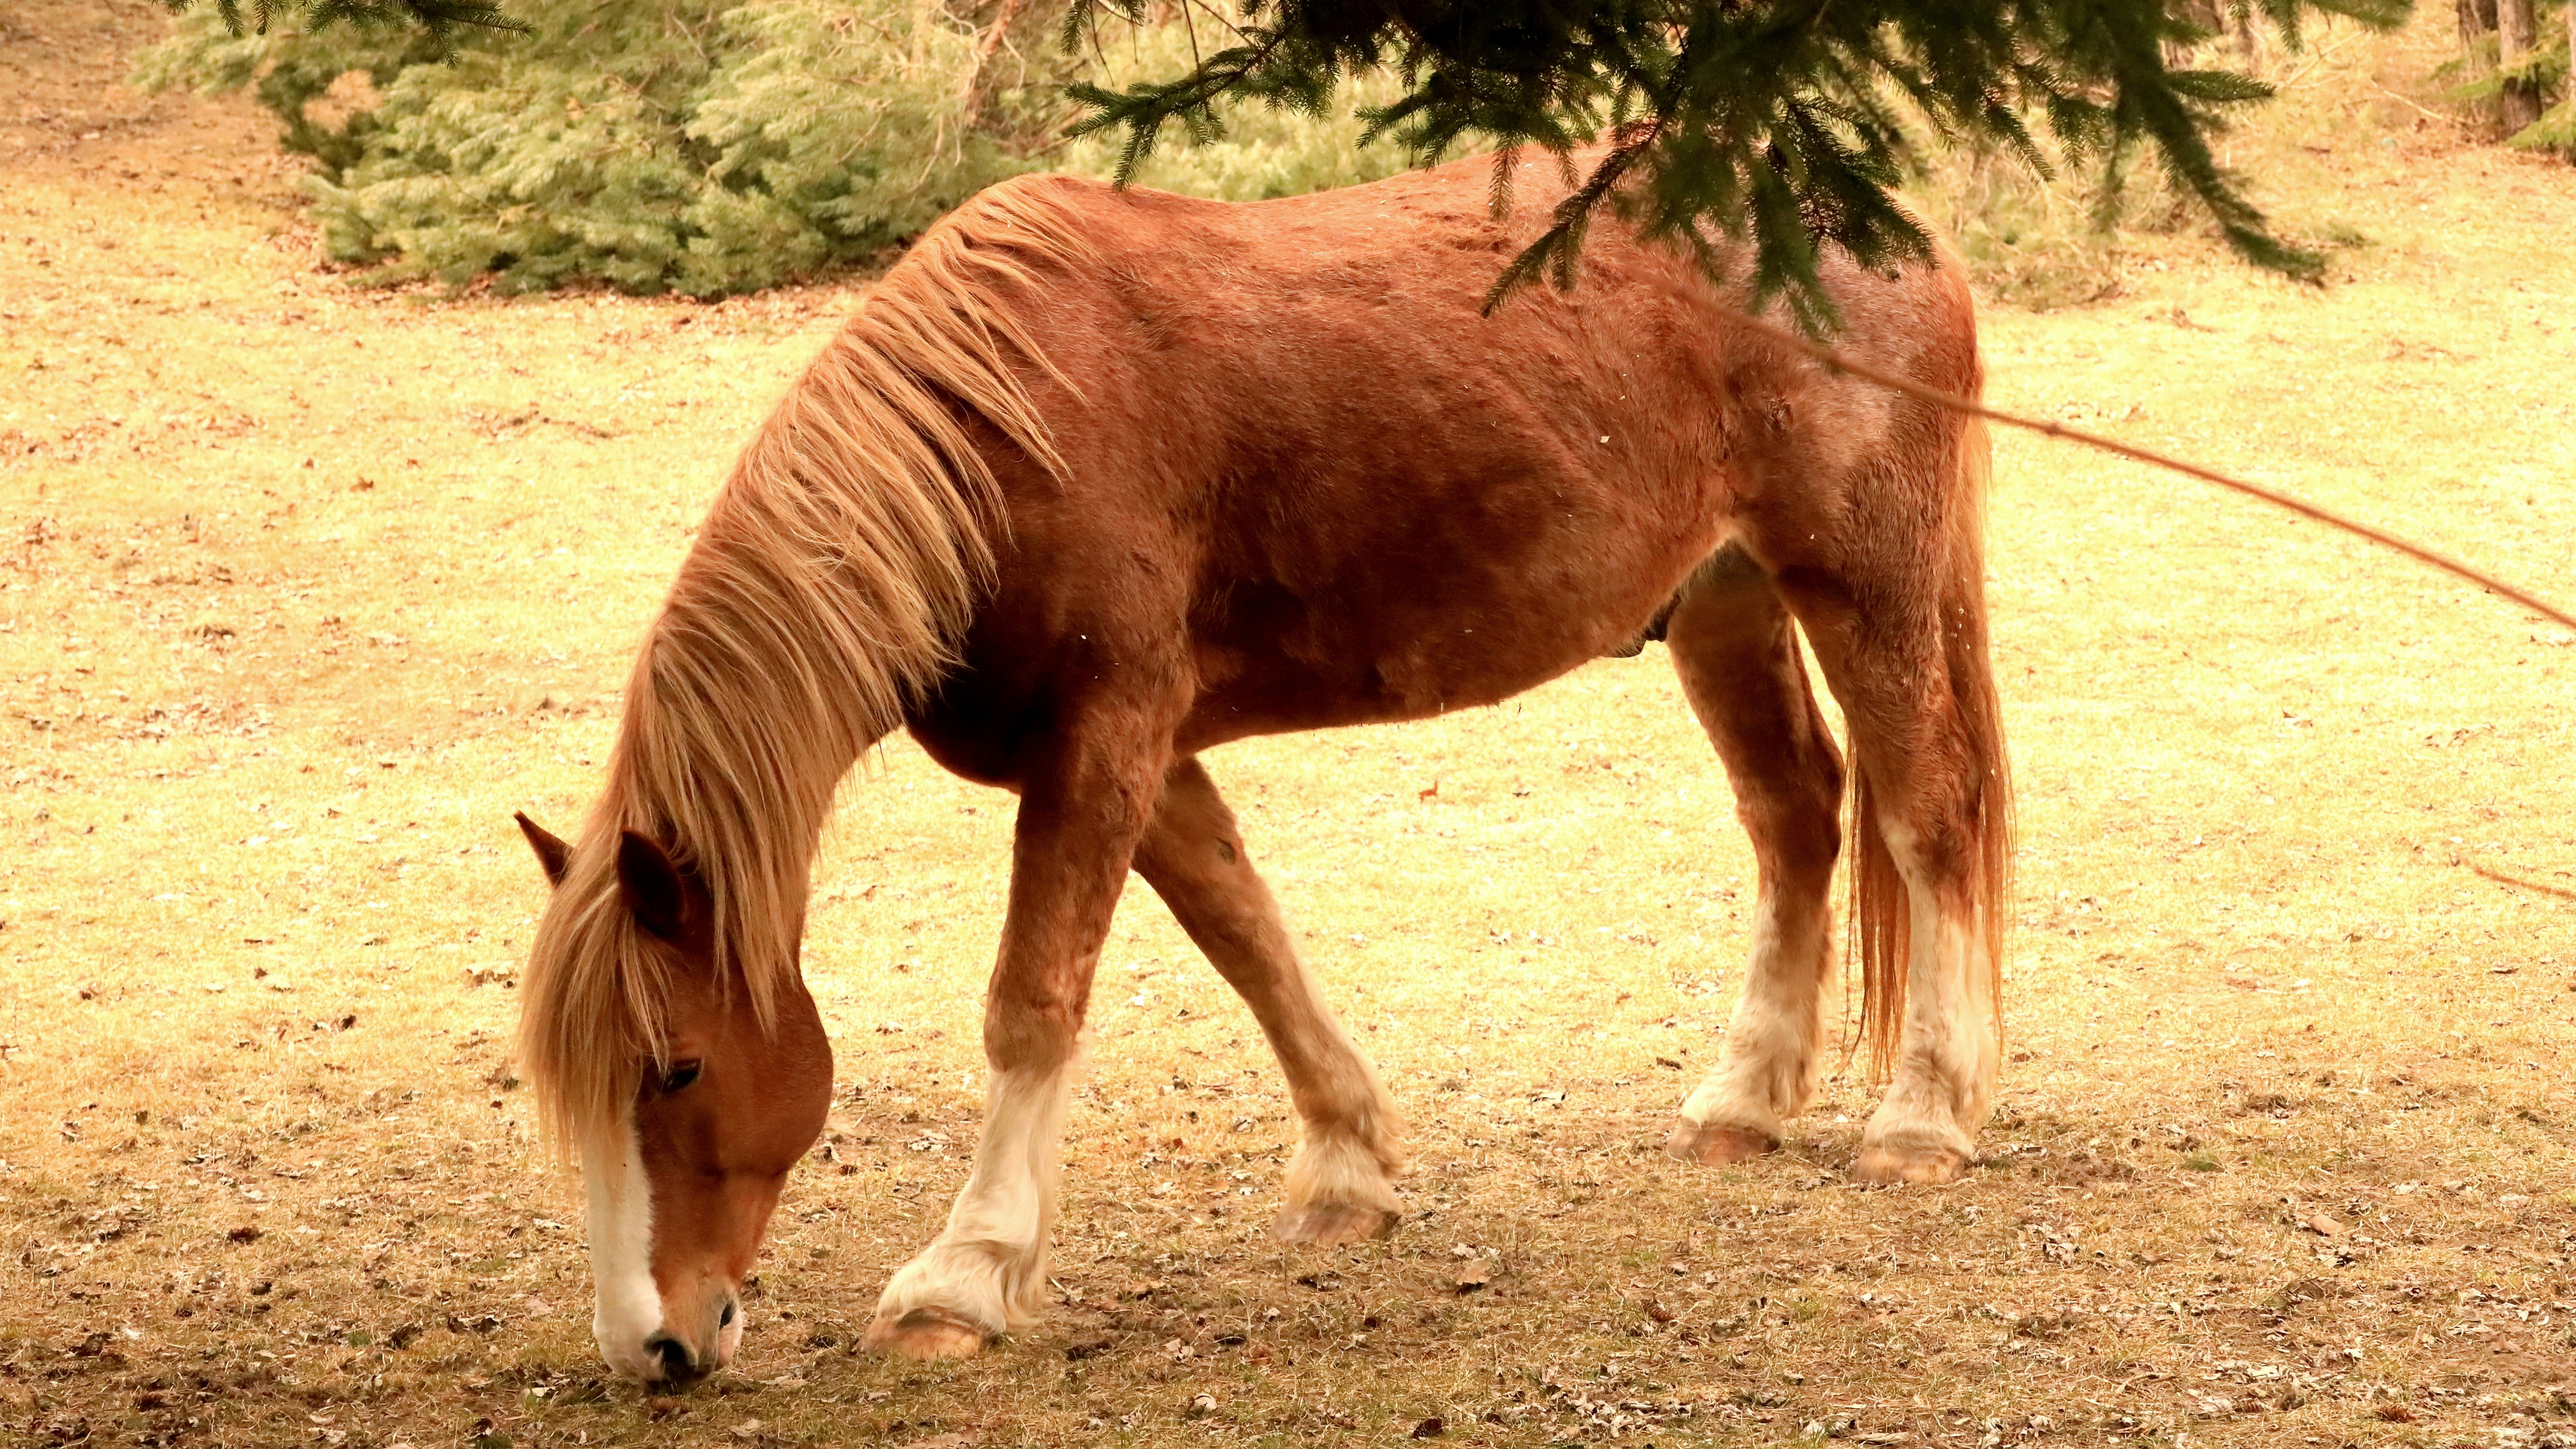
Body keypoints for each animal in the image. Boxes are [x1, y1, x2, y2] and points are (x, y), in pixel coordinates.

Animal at [510, 147, 2011, 1384]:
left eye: (678, 1070)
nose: (653, 1346)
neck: (1002, 442)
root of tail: (1877, 219)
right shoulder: (1149, 759)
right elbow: (1248, 938)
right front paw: (1350, 1169)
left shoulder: (1100, 745)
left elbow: (1032, 1007)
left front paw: (966, 1275)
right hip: (1724, 600)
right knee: (1795, 815)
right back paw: (1741, 1102)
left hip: (1862, 588)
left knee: (1926, 814)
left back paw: (1921, 1121)